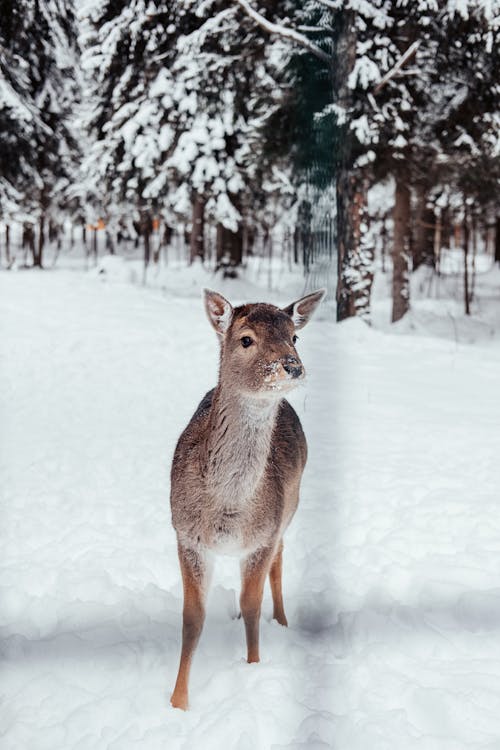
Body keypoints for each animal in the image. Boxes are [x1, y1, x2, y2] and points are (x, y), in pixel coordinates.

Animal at [170, 286, 326, 712]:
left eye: (294, 337)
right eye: (245, 339)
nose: (291, 366)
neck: (228, 509)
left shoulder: (262, 535)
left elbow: (254, 606)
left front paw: (254, 668)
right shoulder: (185, 534)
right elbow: (192, 618)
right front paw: (178, 701)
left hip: (290, 508)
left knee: (279, 560)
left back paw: (283, 620)